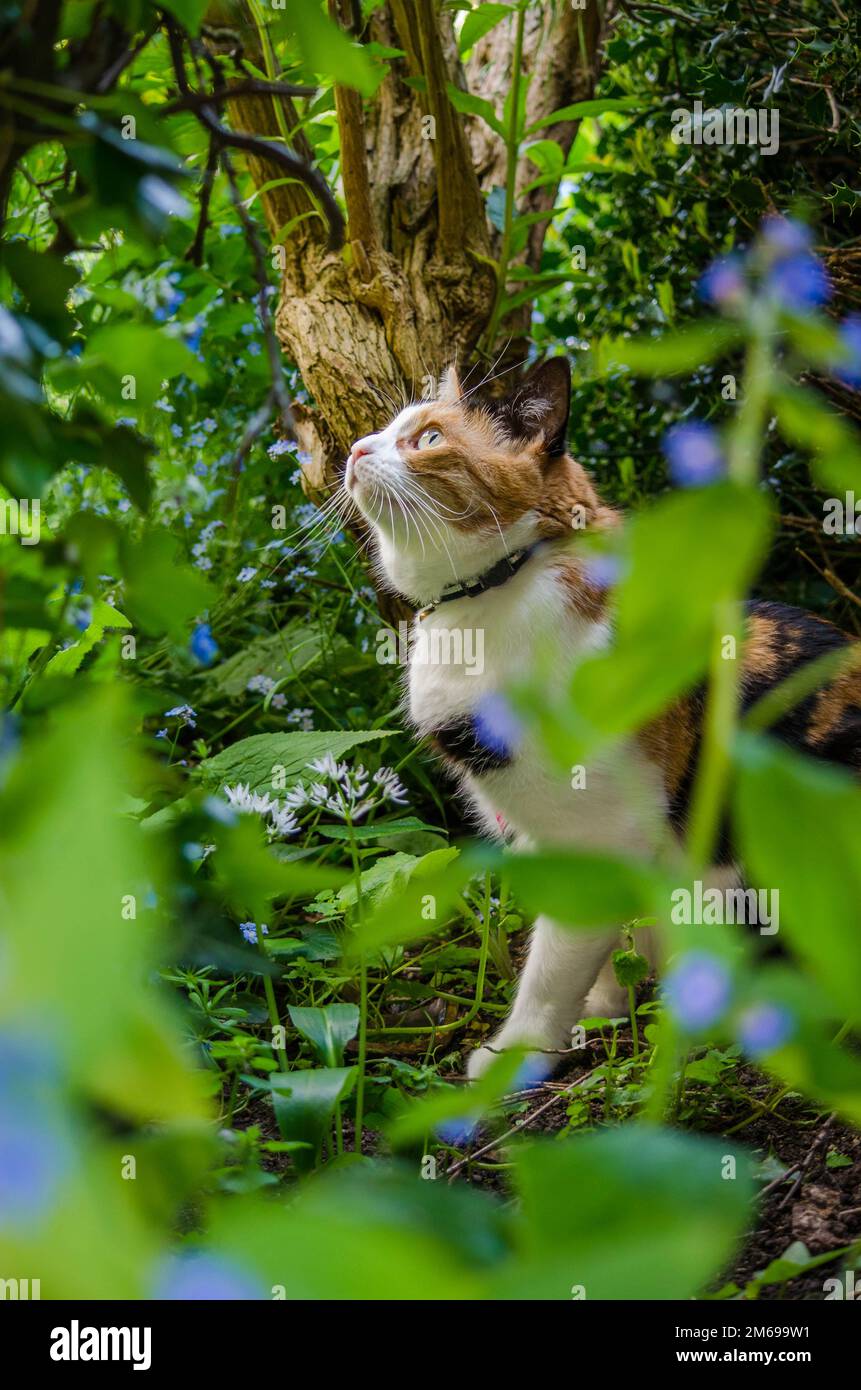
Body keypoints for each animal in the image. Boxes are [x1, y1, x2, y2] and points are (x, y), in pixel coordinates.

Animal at [344, 355, 861, 1073]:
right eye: (386, 430)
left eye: (427, 439)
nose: (355, 449)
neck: (498, 589)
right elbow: (599, 944)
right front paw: (602, 1010)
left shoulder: (601, 833)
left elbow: (553, 964)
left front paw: (516, 1053)